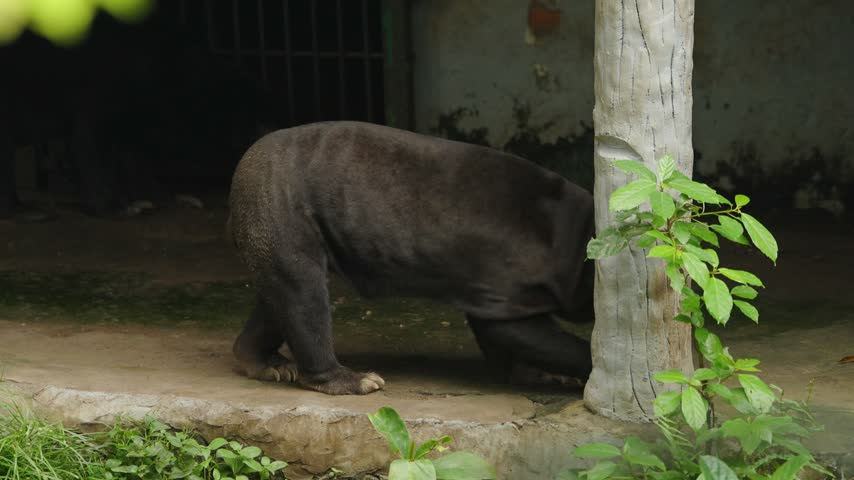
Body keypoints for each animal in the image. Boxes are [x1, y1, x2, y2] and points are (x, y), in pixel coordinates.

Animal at [227, 121, 594, 395]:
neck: (576, 240)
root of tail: (245, 164)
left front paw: (544, 376)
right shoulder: (506, 287)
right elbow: (513, 332)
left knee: (278, 297)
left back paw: (267, 365)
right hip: (282, 211)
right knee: (303, 293)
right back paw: (358, 381)